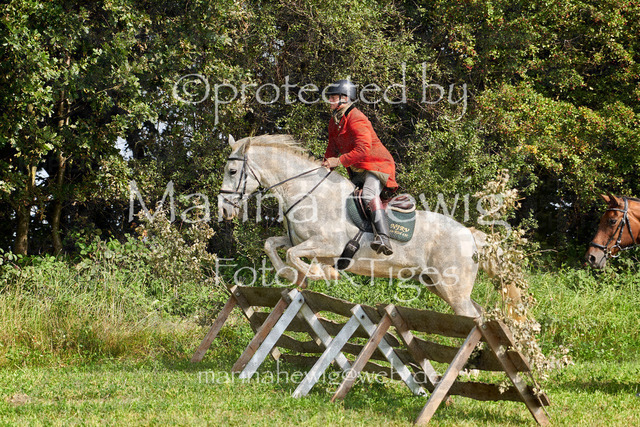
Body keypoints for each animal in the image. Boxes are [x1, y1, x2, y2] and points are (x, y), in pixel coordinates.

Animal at [218, 134, 483, 317]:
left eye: (232, 171)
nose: (223, 210)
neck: (308, 193)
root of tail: (469, 235)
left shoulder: (328, 245)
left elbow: (293, 254)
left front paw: (320, 272)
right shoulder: (300, 240)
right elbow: (272, 245)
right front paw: (293, 274)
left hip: (453, 288)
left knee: (471, 318)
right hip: (436, 283)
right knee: (477, 314)